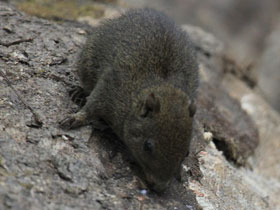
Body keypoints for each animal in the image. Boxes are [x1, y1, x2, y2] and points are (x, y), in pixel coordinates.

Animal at [59, 7, 199, 192]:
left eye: (186, 153)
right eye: (148, 146)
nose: (160, 187)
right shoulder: (109, 88)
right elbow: (91, 108)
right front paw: (76, 118)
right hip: (87, 63)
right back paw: (80, 92)